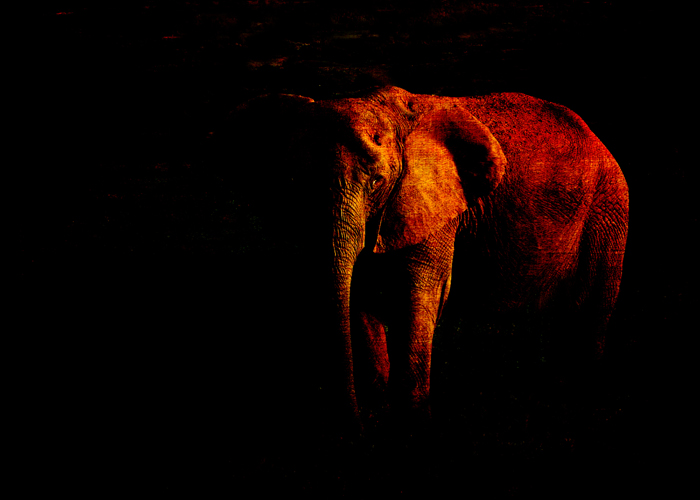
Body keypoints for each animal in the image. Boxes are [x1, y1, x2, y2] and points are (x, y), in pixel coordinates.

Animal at [227, 86, 628, 432]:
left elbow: (418, 296)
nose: (354, 428)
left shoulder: (433, 204)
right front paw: (379, 414)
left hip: (609, 210)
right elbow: (359, 298)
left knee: (589, 315)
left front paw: (413, 425)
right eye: (294, 184)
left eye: (377, 181)